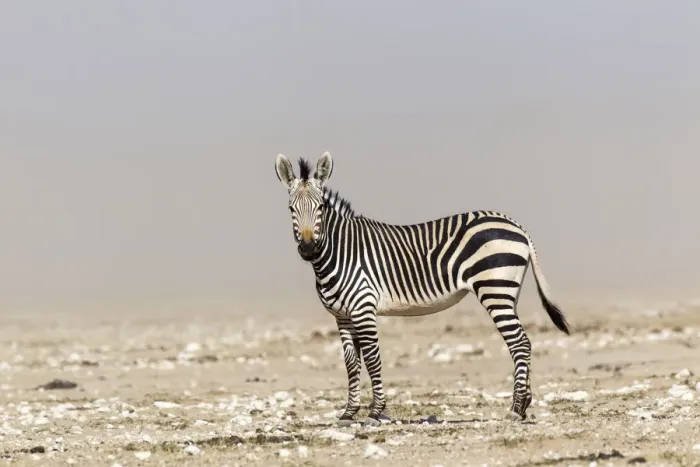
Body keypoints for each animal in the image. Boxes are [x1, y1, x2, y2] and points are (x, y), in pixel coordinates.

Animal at [274, 151, 571, 426]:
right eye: (291, 209)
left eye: (321, 208)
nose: (308, 248)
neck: (340, 253)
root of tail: (516, 225)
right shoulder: (342, 316)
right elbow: (351, 364)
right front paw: (349, 413)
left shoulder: (363, 309)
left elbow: (372, 359)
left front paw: (375, 412)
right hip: (508, 292)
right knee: (522, 343)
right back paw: (524, 405)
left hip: (494, 289)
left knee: (519, 343)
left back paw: (516, 408)